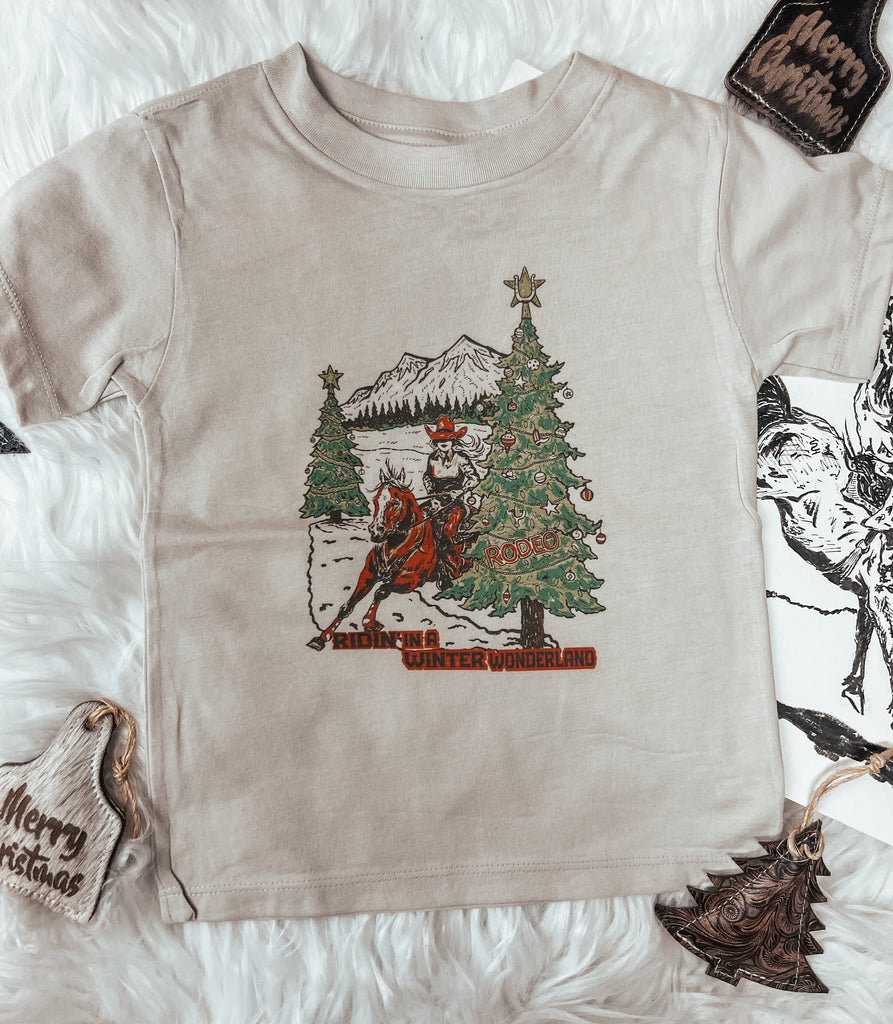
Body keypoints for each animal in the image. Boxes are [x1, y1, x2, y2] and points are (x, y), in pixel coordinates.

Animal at [307, 465, 441, 650]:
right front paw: (322, 637)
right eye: (376, 500)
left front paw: (369, 621)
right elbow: (348, 605)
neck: (396, 546)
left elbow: (381, 591)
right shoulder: (368, 574)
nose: (376, 531)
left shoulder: (411, 582)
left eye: (395, 502)